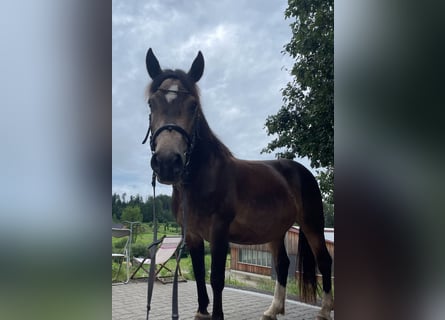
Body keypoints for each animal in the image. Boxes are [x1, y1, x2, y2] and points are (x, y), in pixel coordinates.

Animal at [144, 48, 332, 320]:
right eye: (151, 103)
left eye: (193, 106)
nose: (168, 162)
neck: (201, 179)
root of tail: (301, 171)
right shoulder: (191, 234)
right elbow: (199, 274)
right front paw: (202, 312)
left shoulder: (219, 231)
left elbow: (216, 278)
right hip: (276, 230)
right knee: (283, 264)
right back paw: (273, 310)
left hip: (313, 224)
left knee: (324, 261)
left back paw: (325, 311)